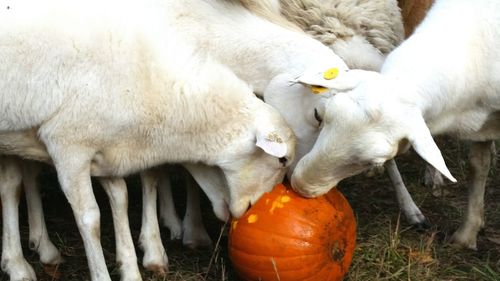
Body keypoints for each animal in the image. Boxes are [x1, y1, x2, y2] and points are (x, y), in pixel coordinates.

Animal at [0, 0, 296, 278]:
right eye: (282, 160)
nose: (251, 212)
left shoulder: (108, 151)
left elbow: (120, 199)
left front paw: (130, 268)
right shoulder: (69, 149)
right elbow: (90, 218)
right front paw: (105, 272)